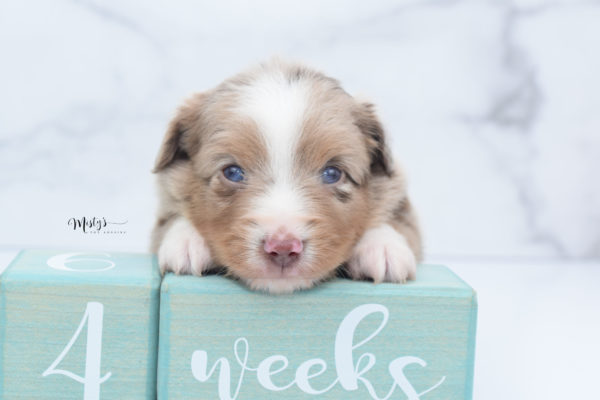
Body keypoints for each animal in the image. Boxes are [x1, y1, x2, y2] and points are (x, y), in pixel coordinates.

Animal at [150, 59, 422, 294]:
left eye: (333, 173)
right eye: (232, 172)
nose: (282, 248)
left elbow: (395, 221)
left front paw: (383, 247)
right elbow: (172, 219)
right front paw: (186, 241)